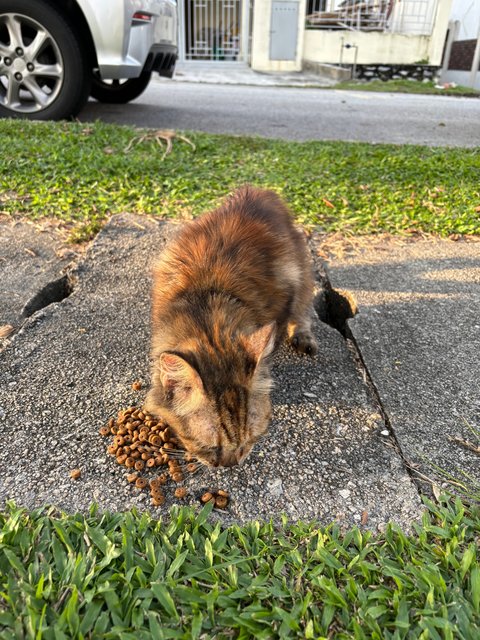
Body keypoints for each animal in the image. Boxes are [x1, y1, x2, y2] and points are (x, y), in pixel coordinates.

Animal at [146, 188, 318, 468]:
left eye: (249, 440)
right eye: (209, 446)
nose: (230, 464)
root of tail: (258, 191)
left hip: (303, 271)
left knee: (304, 308)